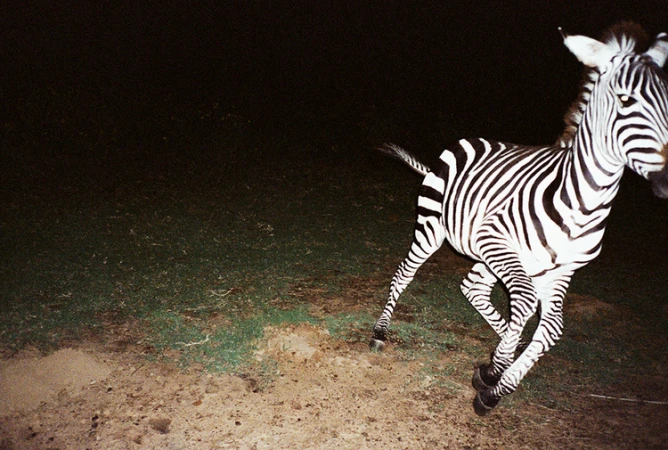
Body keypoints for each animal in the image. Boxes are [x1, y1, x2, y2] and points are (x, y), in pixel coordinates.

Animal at [370, 22, 668, 416]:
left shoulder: (560, 270)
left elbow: (551, 326)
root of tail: (467, 142)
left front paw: (496, 382)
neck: (583, 203)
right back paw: (380, 332)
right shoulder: (500, 243)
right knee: (407, 273)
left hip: (494, 256)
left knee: (474, 288)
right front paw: (494, 372)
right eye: (625, 100)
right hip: (436, 228)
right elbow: (526, 304)